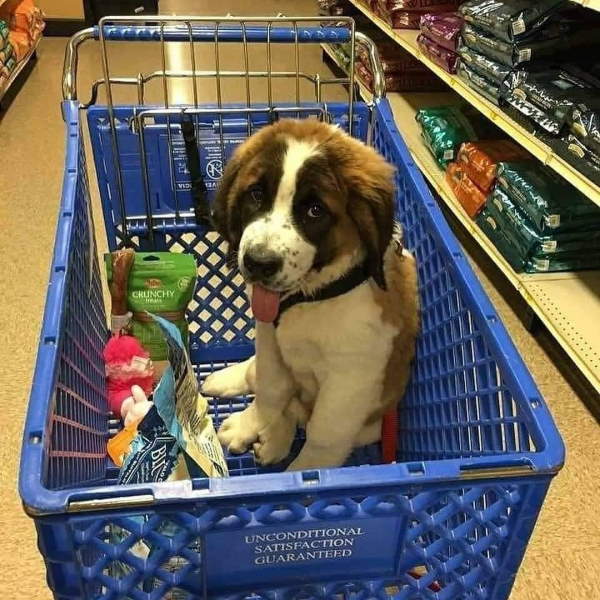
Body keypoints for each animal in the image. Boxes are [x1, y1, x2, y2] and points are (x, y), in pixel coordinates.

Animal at [202, 119, 418, 472]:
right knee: (261, 379)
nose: (258, 263)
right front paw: (253, 422)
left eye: (315, 211)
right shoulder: (270, 339)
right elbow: (271, 389)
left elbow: (324, 433)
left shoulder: (351, 378)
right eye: (256, 194)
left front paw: (307, 472)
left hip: (373, 420)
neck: (310, 297)